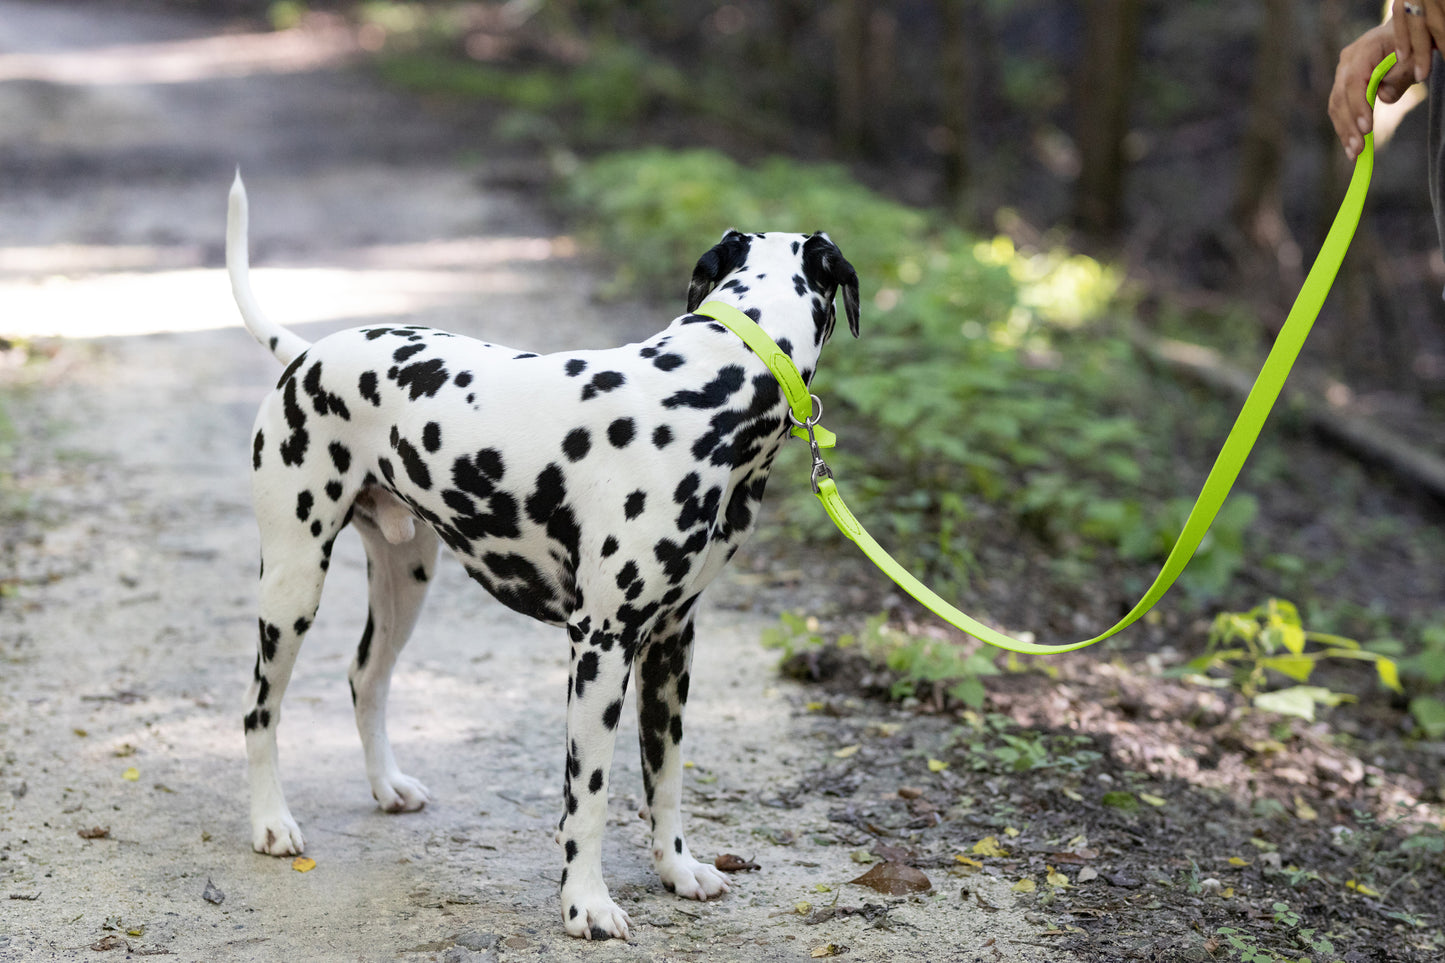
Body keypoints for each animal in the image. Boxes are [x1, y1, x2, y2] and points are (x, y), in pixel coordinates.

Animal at [225, 174, 855, 936]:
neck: (711, 383)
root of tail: (309, 352)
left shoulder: (671, 642)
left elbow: (665, 778)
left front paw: (677, 869)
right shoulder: (602, 644)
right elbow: (589, 794)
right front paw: (586, 903)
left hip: (406, 581)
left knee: (364, 678)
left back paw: (386, 785)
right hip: (292, 585)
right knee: (259, 708)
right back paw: (271, 821)